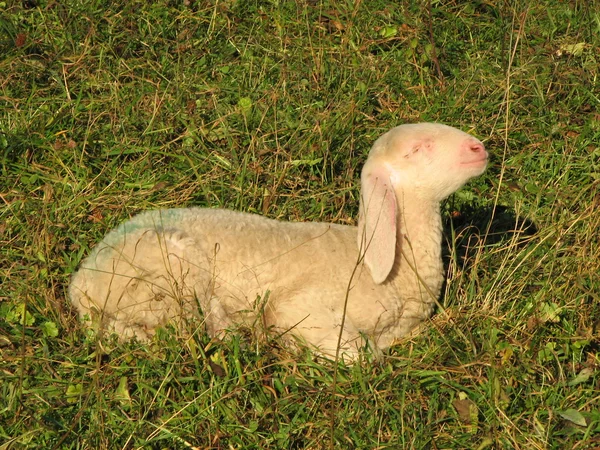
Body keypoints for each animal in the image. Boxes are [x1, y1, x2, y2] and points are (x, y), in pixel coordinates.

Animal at [69, 122, 488, 358]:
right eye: (417, 150)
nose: (479, 148)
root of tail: (81, 284)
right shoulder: (303, 310)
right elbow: (362, 356)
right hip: (170, 271)